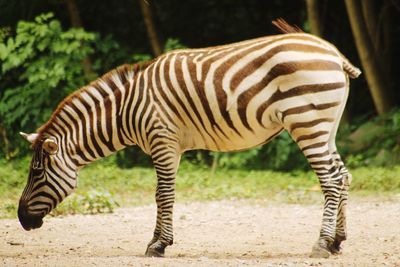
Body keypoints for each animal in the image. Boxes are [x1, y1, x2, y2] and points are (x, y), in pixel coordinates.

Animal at [18, 19, 360, 258]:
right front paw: (157, 241)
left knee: (330, 180)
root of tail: (333, 54)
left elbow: (163, 195)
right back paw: (337, 241)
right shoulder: (169, 146)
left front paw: (158, 244)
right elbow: (162, 195)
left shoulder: (163, 141)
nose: (22, 220)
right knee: (342, 175)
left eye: (37, 173)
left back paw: (321, 243)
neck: (126, 110)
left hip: (307, 122)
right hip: (325, 126)